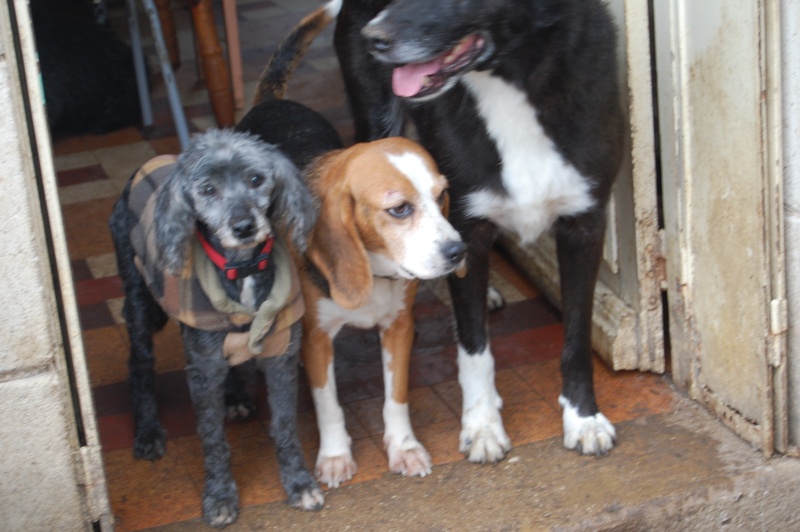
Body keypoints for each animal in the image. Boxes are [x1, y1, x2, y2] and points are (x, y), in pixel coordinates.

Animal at [310, 0, 624, 462]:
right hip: (376, 124)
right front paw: (482, 425)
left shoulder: (585, 225)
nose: (374, 39)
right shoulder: (464, 228)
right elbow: (475, 349)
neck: (511, 81)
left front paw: (583, 417)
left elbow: (579, 336)